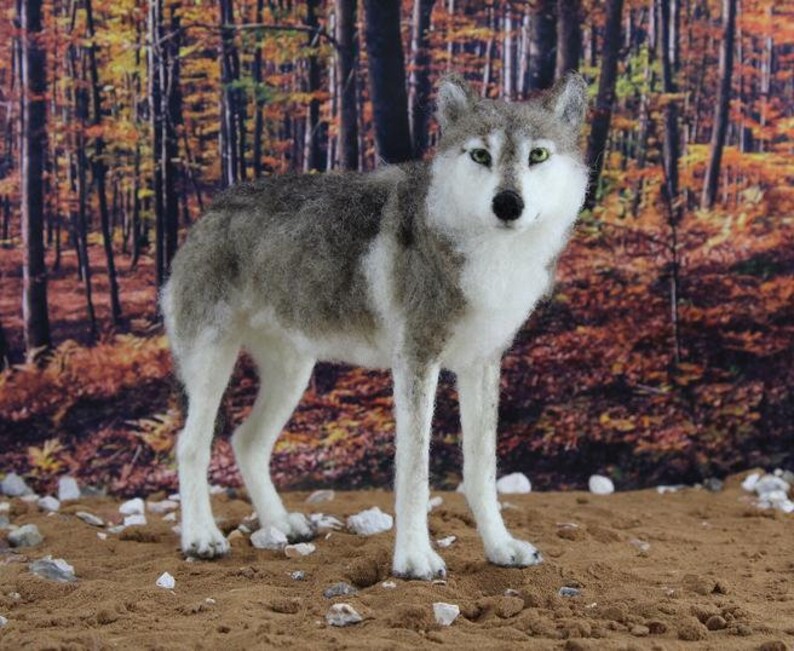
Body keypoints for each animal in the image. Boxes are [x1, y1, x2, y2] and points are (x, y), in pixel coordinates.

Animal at [161, 72, 589, 579]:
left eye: (537, 155)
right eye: (481, 155)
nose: (507, 204)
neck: (489, 258)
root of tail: (210, 210)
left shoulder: (482, 365)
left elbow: (481, 470)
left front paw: (501, 547)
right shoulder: (416, 362)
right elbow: (415, 473)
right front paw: (414, 559)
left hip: (292, 376)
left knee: (247, 442)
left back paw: (282, 524)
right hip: (213, 367)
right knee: (191, 445)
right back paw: (201, 538)